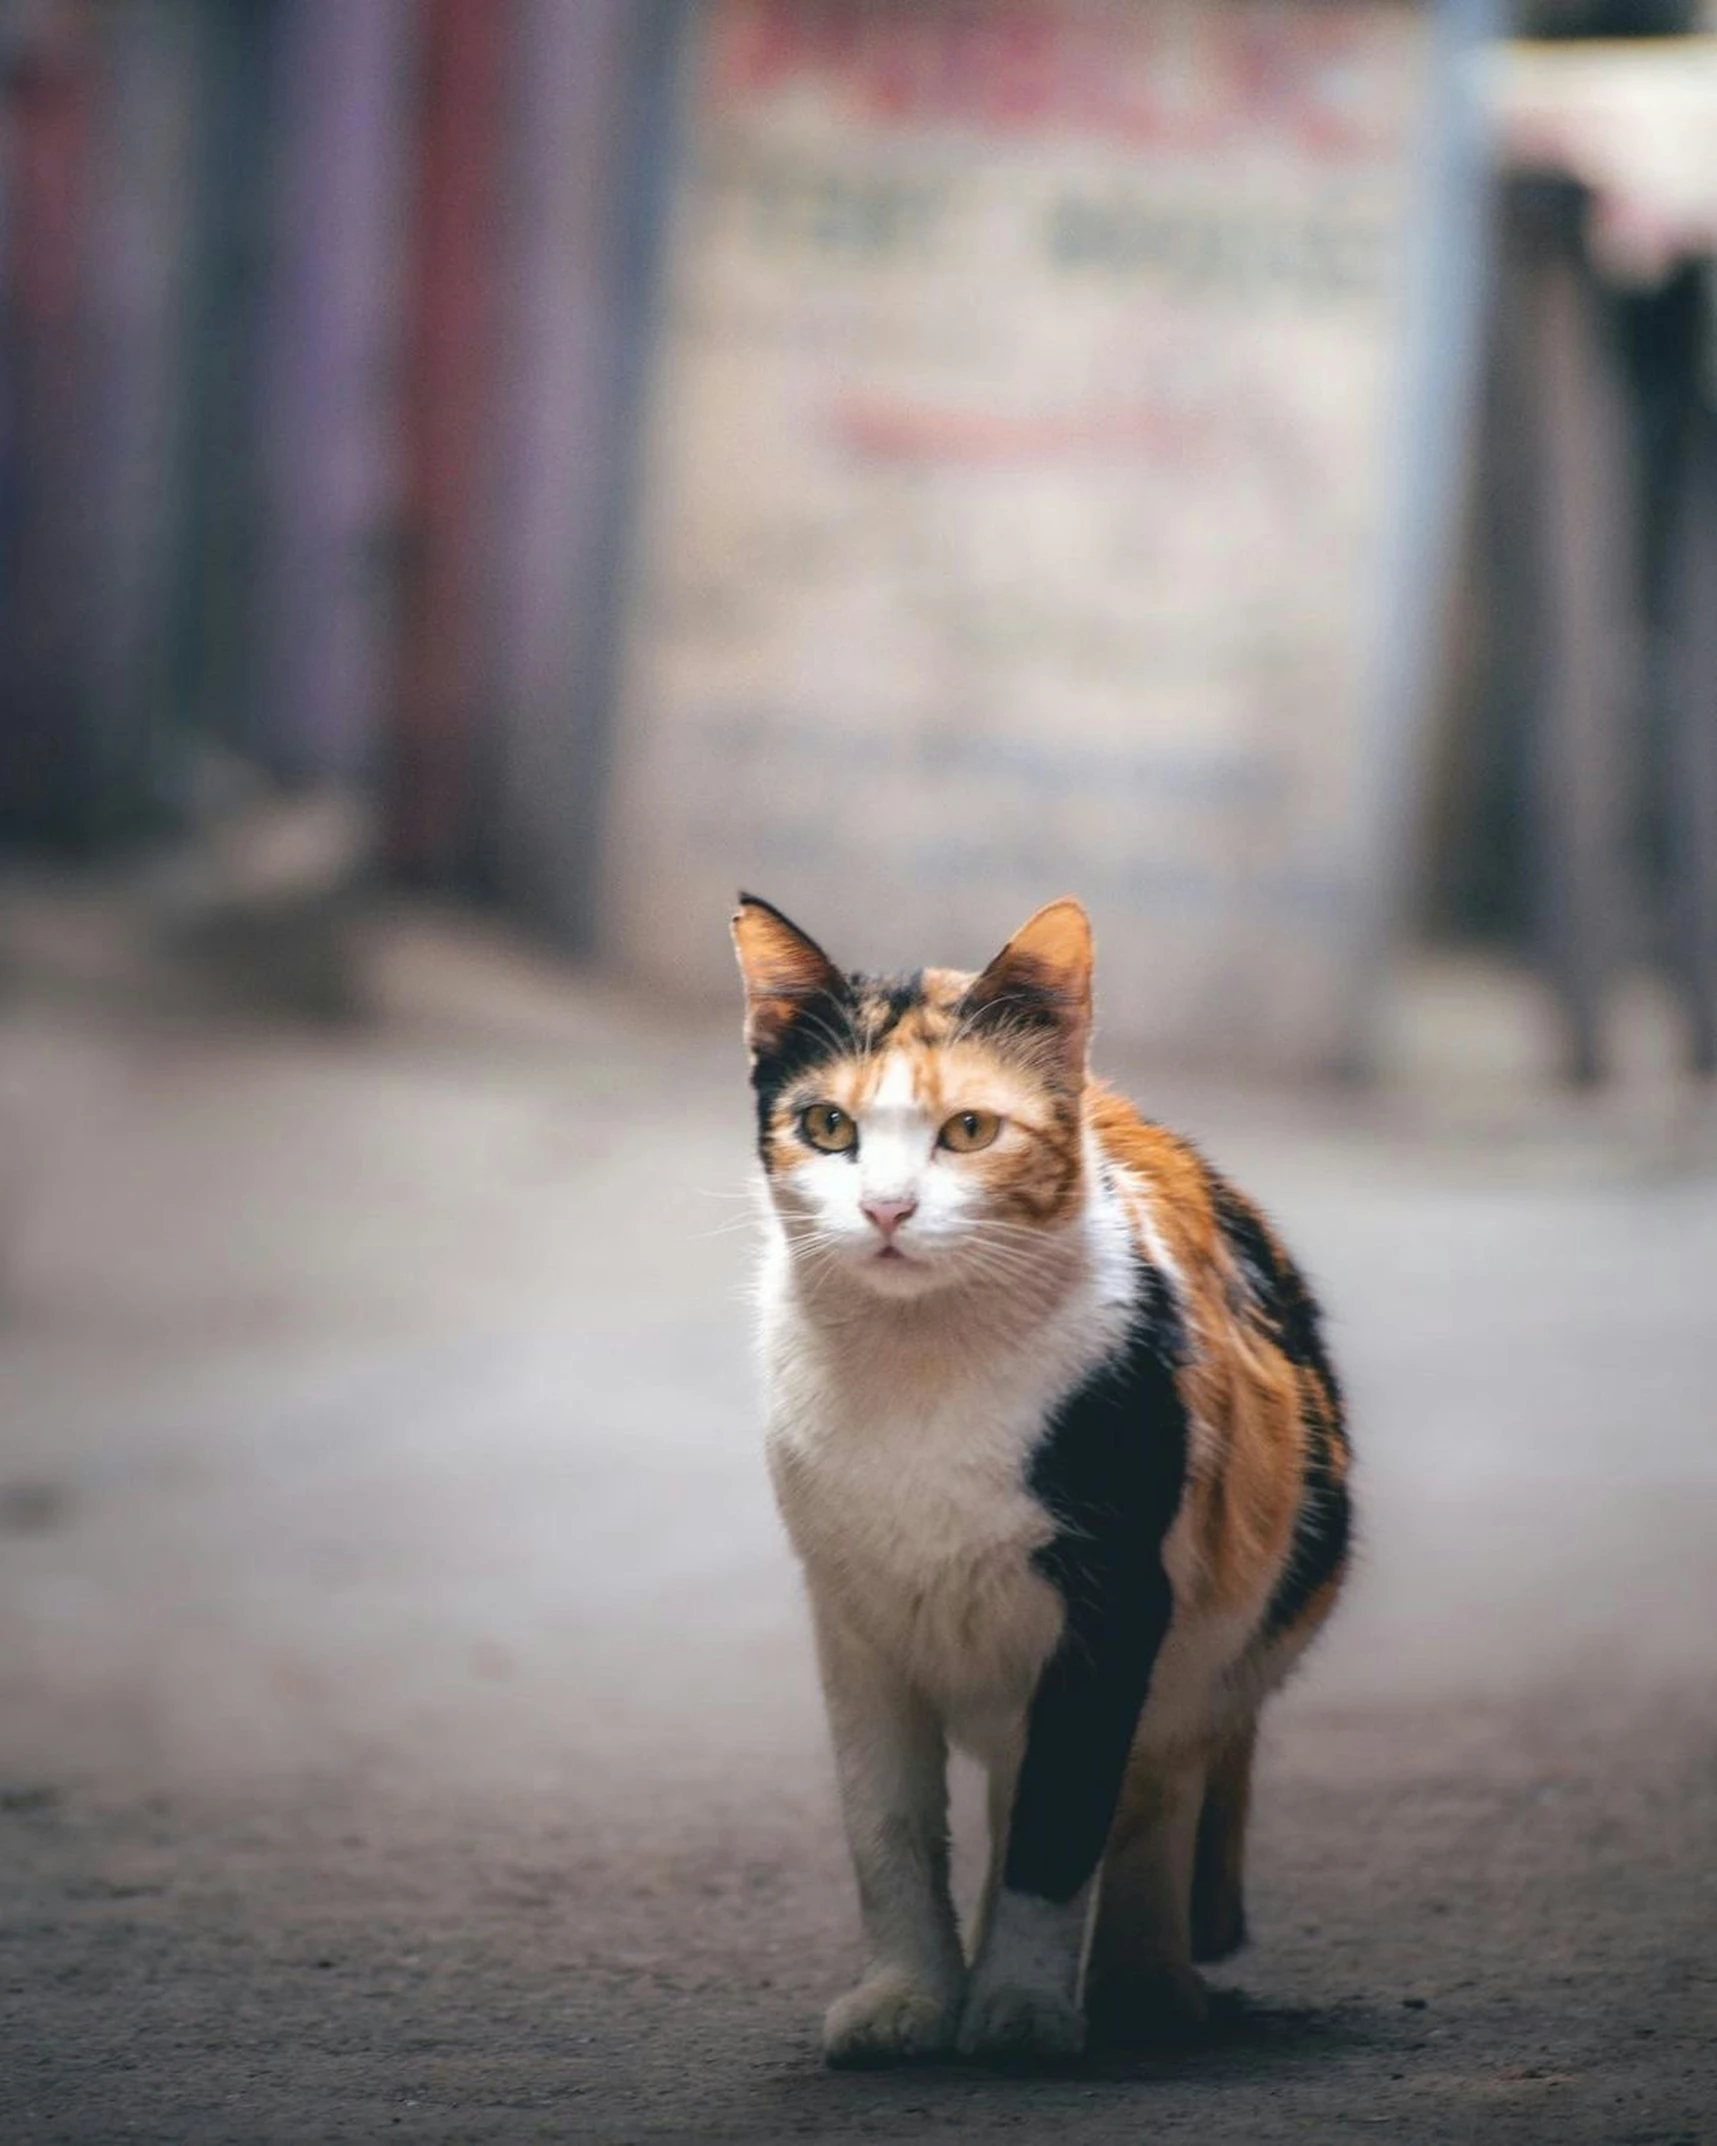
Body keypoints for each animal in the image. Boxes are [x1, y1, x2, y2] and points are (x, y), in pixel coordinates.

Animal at [729, 888, 1347, 2060]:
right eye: (827, 1127)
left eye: (969, 1130)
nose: (884, 1209)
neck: (920, 1368)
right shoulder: (851, 1614)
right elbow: (885, 1827)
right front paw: (908, 1998)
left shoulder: (1117, 1602)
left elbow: (1063, 1827)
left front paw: (1018, 2011)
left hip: (1212, 1650)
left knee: (1145, 1793)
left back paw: (1141, 1987)